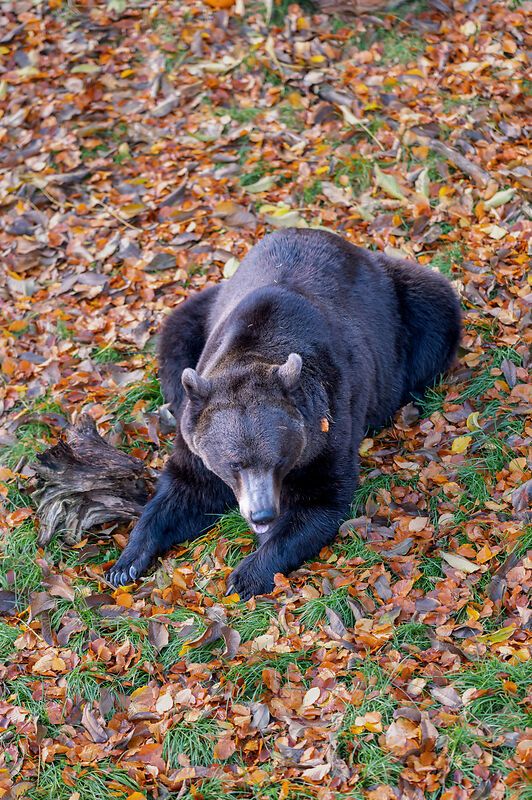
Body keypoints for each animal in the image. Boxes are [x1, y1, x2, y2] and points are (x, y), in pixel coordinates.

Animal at [107, 228, 461, 598]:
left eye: (278, 460)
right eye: (234, 463)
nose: (261, 514)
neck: (256, 344)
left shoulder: (331, 418)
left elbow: (320, 500)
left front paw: (245, 575)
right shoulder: (199, 426)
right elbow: (188, 486)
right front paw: (126, 563)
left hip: (399, 304)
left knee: (434, 305)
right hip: (201, 311)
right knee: (174, 338)